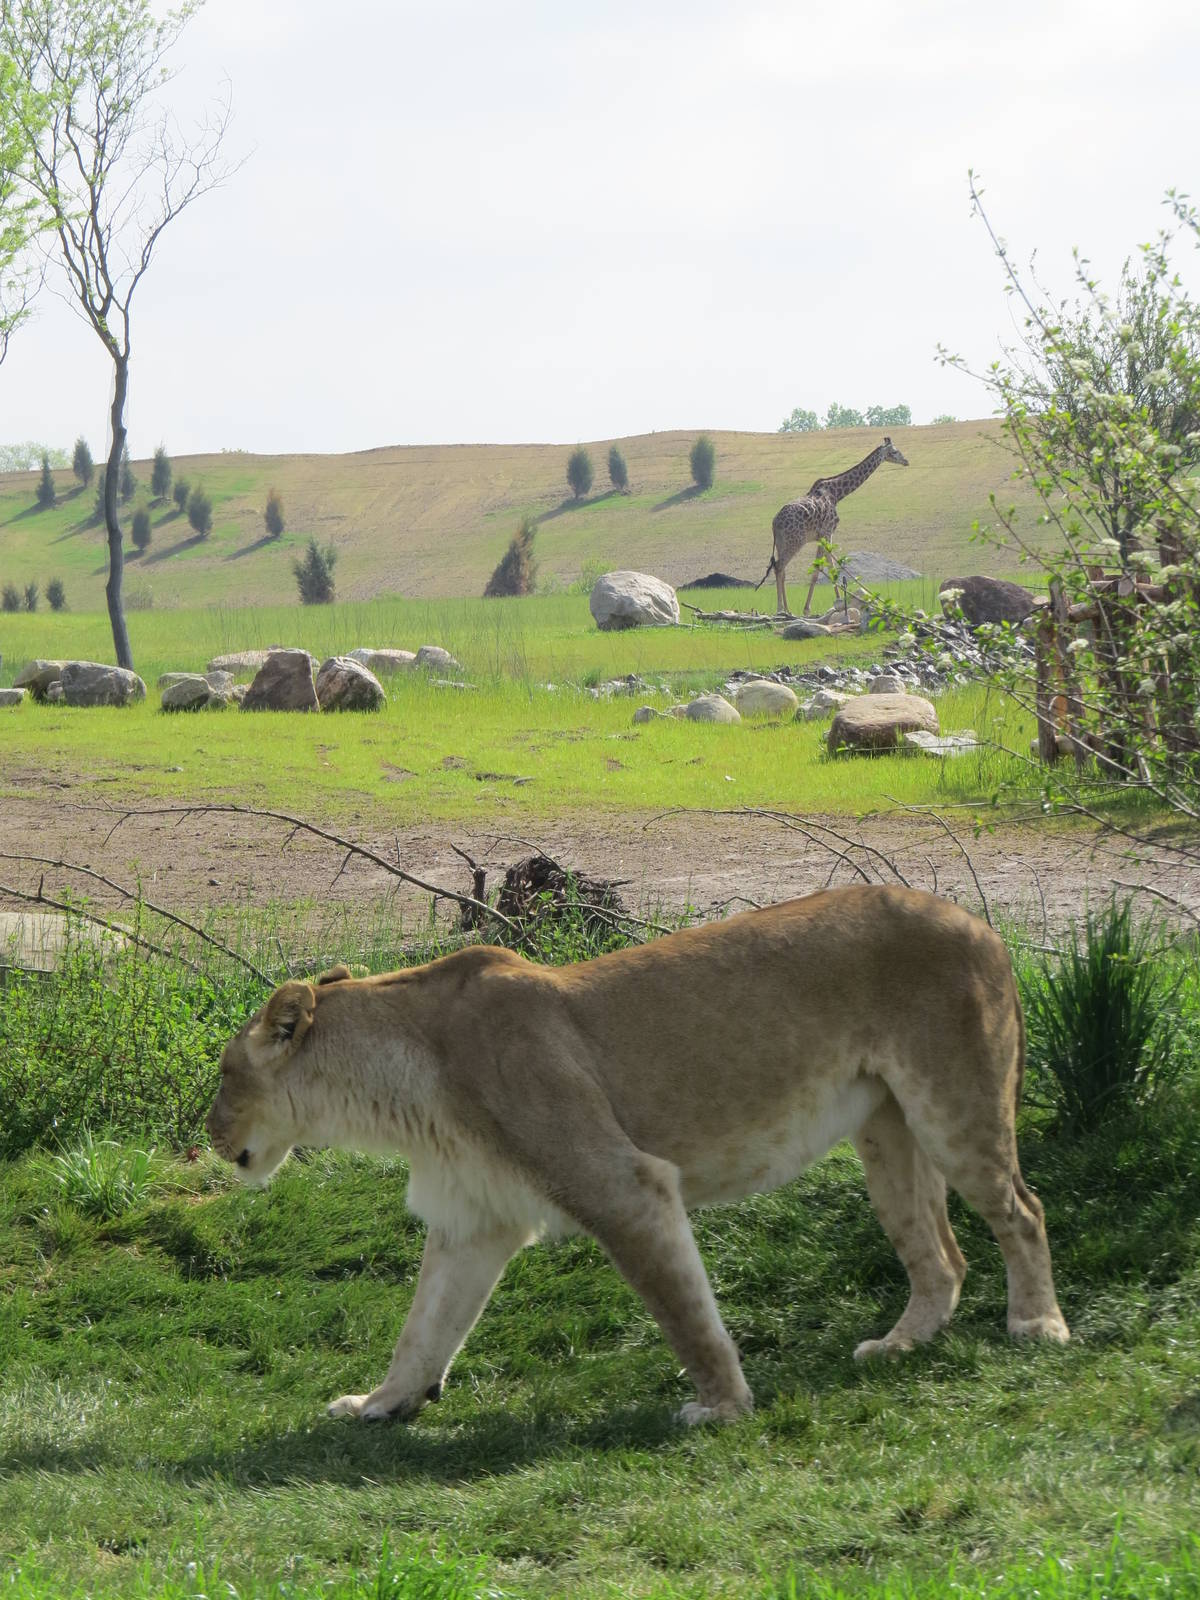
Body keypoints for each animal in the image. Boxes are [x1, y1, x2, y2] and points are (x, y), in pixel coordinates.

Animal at [205, 885, 1068, 1426]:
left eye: (222, 1074)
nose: (207, 1137)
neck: (402, 1092)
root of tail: (978, 921)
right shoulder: (473, 1219)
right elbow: (425, 1326)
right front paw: (384, 1403)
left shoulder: (624, 1184)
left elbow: (682, 1311)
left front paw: (722, 1408)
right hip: (887, 1135)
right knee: (942, 1255)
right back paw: (900, 1345)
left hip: (953, 1110)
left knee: (1024, 1211)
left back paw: (1037, 1324)